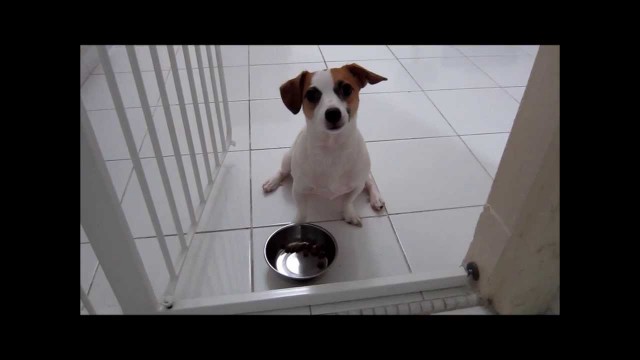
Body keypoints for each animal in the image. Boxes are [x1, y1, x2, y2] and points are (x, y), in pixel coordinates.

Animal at [262, 63, 388, 226]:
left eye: (347, 89)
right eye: (311, 95)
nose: (333, 113)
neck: (331, 148)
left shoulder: (356, 186)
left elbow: (348, 201)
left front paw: (349, 214)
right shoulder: (299, 189)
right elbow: (302, 210)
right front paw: (298, 223)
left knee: (369, 180)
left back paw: (376, 197)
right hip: (288, 157)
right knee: (283, 171)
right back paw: (272, 182)